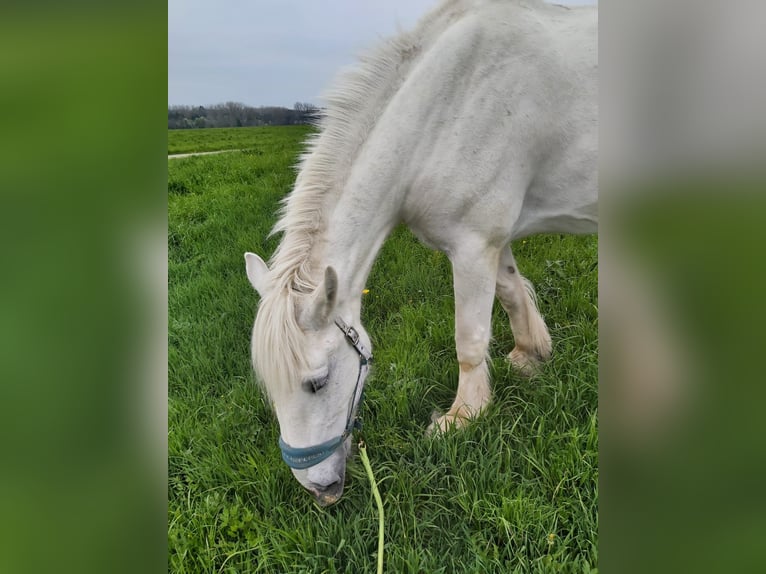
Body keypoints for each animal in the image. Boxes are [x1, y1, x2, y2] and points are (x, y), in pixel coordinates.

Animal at [245, 0, 597, 506]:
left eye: (317, 382)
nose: (320, 489)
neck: (448, 103)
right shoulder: (492, 241)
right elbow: (512, 293)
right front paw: (530, 356)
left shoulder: (472, 244)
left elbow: (469, 338)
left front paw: (462, 417)